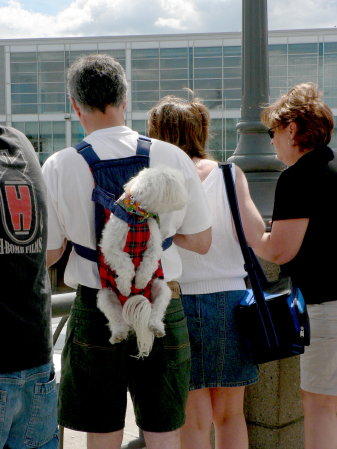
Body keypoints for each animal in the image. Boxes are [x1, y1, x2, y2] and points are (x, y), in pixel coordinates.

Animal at [96, 164, 188, 356]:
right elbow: (125, 264)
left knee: (156, 312)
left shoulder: (154, 245)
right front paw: (125, 286)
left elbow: (149, 262)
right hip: (105, 295)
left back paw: (156, 327)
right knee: (117, 319)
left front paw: (139, 281)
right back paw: (118, 334)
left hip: (162, 289)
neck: (138, 216)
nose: (185, 197)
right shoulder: (110, 246)